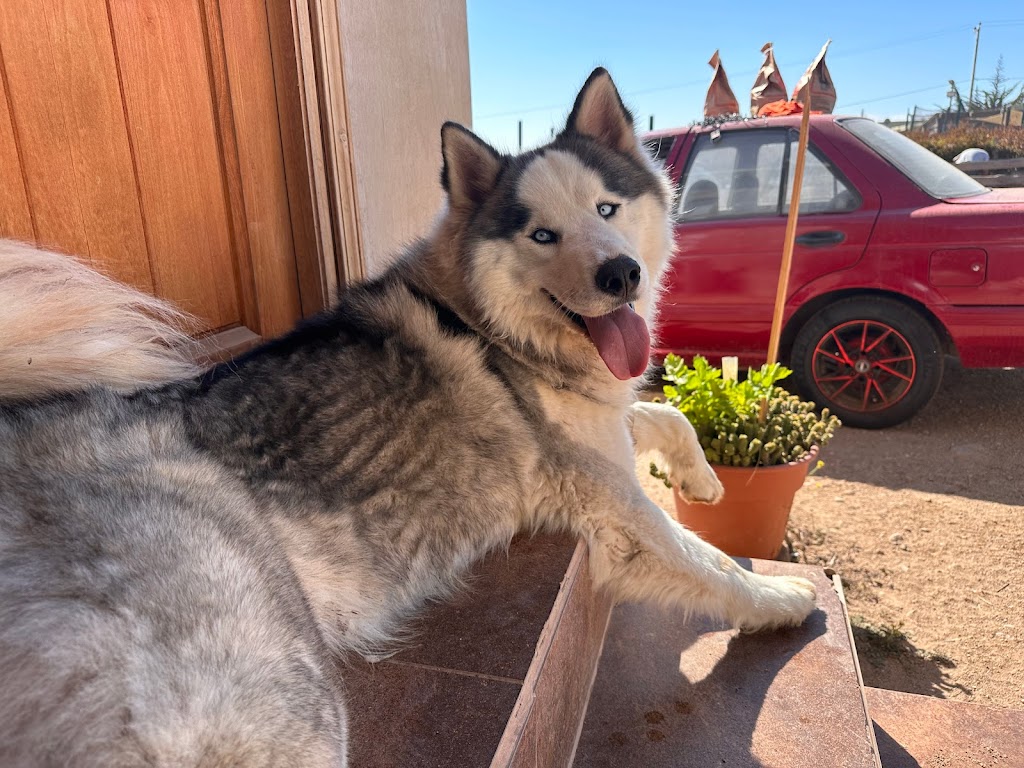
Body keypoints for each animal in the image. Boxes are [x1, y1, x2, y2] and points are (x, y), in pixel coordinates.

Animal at [0, 69, 815, 767]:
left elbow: (663, 414)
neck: (492, 327)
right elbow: (709, 562)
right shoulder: (618, 513)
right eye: (541, 235)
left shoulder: (603, 430)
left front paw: (703, 480)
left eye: (606, 209)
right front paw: (781, 600)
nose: (621, 274)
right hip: (276, 687)